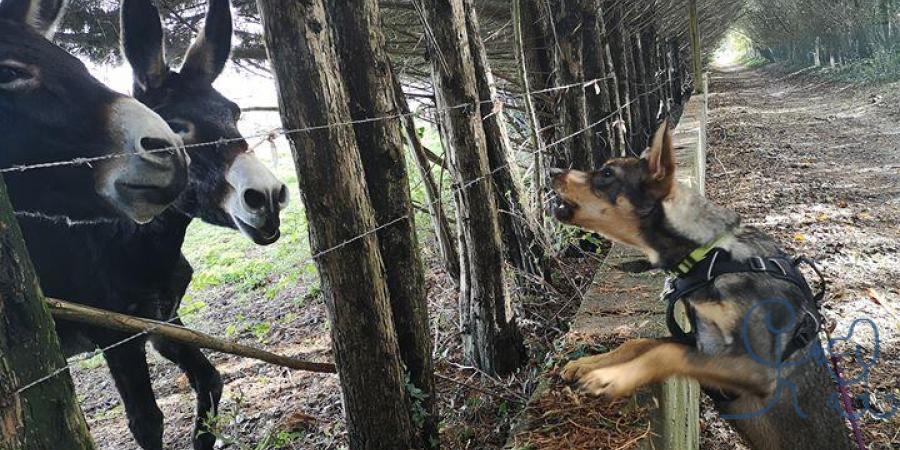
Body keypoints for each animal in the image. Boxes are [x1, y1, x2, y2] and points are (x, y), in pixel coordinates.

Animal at [552, 121, 856, 448]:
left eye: (607, 173)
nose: (552, 169)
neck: (712, 256)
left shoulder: (755, 368)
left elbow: (663, 353)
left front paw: (611, 377)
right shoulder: (700, 343)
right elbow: (641, 342)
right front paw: (590, 363)